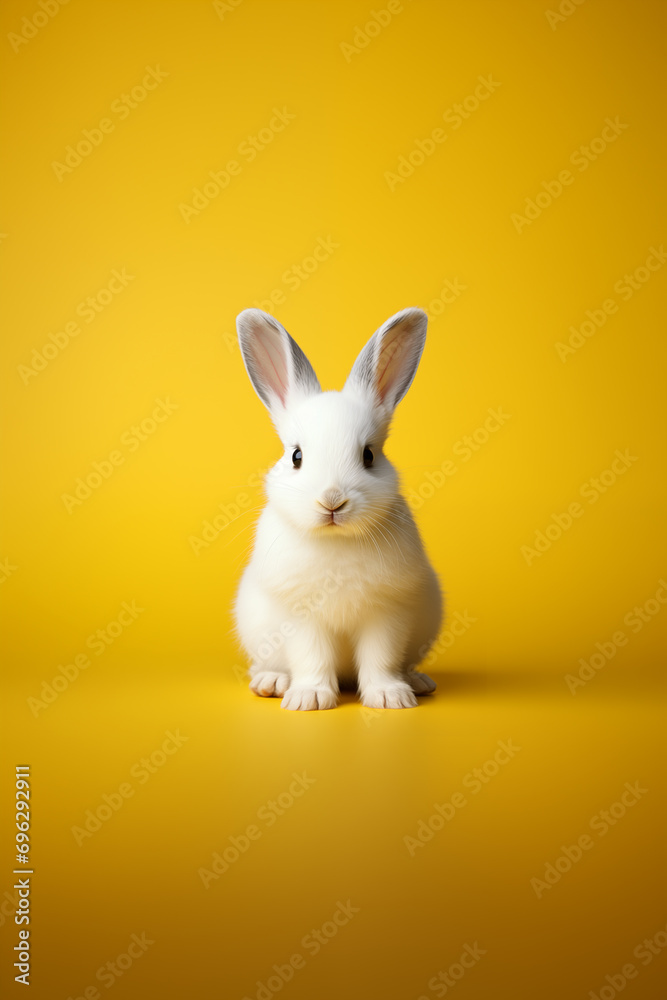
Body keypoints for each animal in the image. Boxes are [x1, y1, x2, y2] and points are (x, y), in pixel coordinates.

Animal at [235, 308, 444, 708]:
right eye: (296, 456)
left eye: (369, 456)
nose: (332, 500)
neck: (336, 541)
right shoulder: (301, 617)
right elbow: (311, 657)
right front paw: (309, 698)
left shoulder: (386, 612)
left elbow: (381, 658)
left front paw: (390, 697)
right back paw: (271, 682)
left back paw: (418, 681)